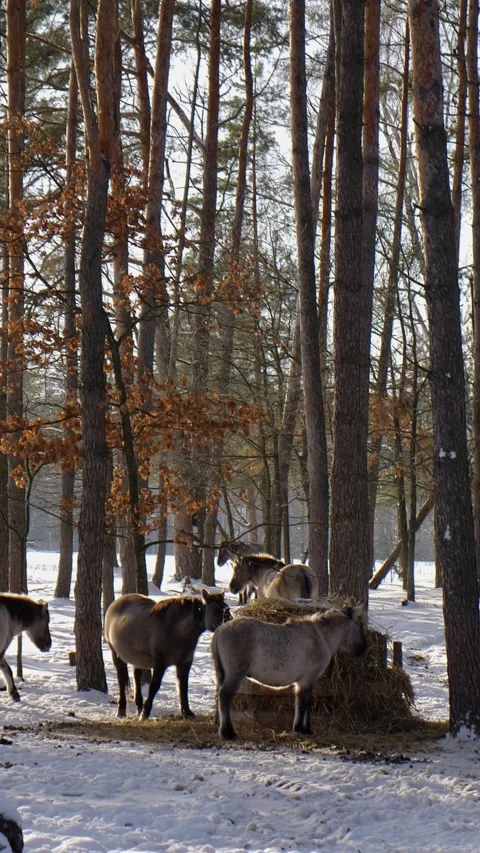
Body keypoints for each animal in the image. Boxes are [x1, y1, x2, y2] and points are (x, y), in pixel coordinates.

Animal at [104, 589, 231, 720]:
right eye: (216, 609)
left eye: (227, 608)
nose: (228, 625)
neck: (177, 629)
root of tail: (115, 604)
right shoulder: (160, 664)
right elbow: (154, 686)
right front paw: (146, 712)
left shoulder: (184, 663)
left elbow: (183, 687)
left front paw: (187, 712)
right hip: (115, 653)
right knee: (121, 679)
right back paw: (121, 710)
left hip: (138, 659)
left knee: (136, 677)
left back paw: (139, 706)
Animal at [211, 604, 367, 739]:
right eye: (360, 625)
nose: (363, 649)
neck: (321, 637)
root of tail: (220, 629)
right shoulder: (307, 680)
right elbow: (304, 703)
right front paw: (300, 729)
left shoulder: (305, 682)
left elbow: (305, 703)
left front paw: (306, 729)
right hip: (235, 675)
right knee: (225, 696)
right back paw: (228, 733)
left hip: (223, 675)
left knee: (220, 696)